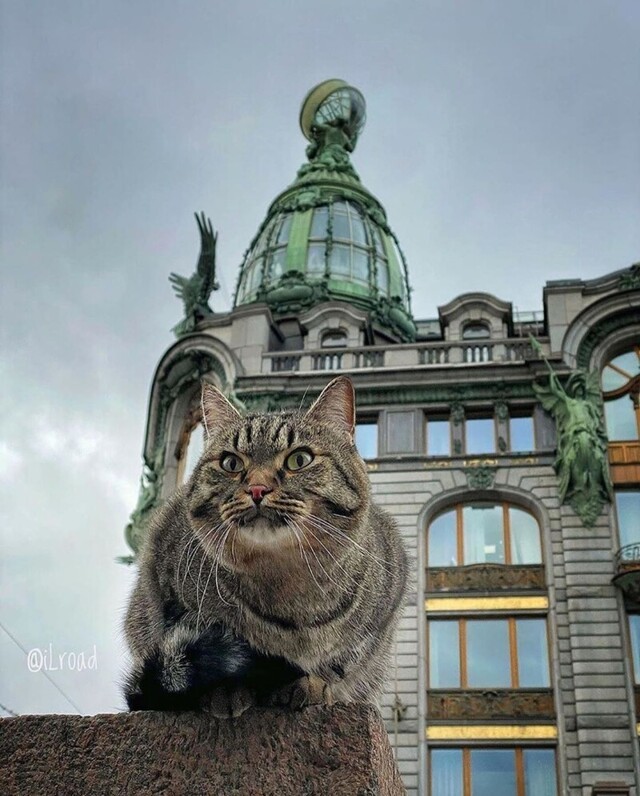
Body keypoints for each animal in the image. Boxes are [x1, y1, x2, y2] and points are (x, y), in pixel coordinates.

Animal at [122, 376, 408, 720]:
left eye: (299, 459)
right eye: (231, 462)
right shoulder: (166, 583)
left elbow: (340, 662)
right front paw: (226, 691)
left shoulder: (384, 607)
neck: (285, 581)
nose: (257, 488)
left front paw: (310, 684)